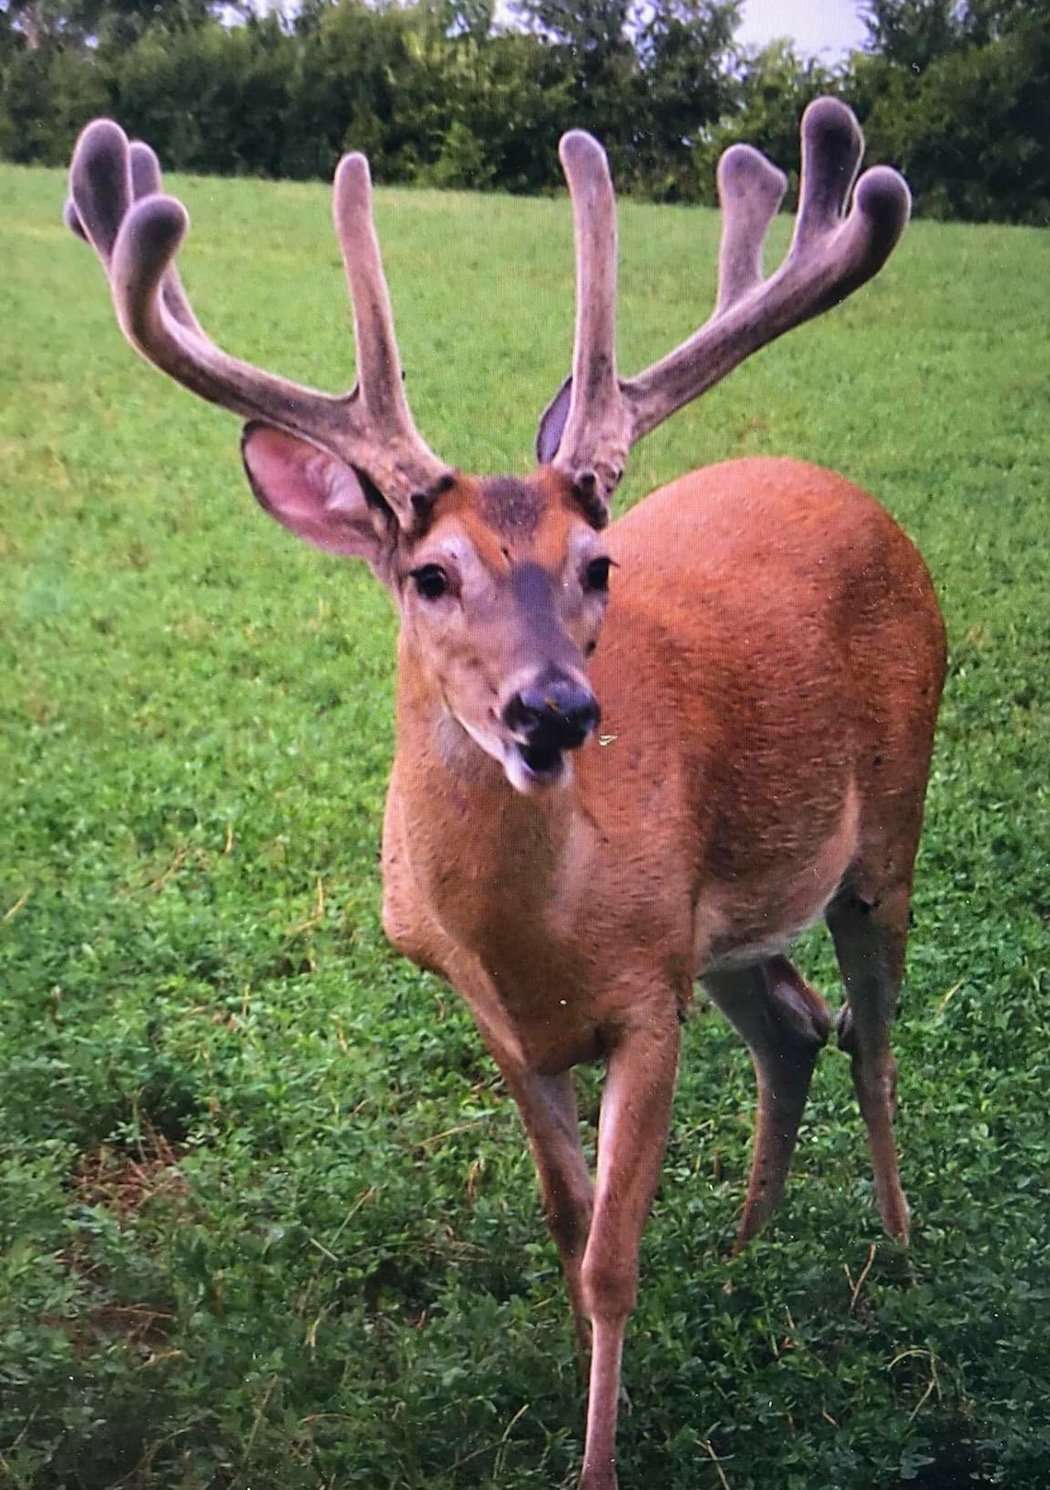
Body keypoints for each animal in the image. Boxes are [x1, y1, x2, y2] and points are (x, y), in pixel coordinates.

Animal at [69, 99, 947, 1484]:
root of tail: (853, 493)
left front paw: (599, 1457)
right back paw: (746, 1248)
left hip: (890, 829)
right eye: (430, 573)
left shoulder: (647, 997)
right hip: (729, 928)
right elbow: (566, 1219)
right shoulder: (503, 1006)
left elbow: (613, 1261)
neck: (540, 938)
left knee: (872, 1032)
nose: (556, 711)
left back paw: (900, 1243)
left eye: (600, 563)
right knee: (797, 1025)